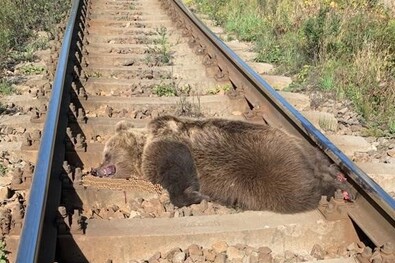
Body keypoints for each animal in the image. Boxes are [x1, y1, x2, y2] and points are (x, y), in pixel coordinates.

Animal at [93, 115, 352, 214]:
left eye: (106, 153)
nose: (94, 169)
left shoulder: (166, 144)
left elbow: (178, 170)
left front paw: (194, 195)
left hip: (273, 165)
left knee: (294, 190)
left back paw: (332, 187)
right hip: (303, 150)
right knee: (319, 164)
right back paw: (337, 177)